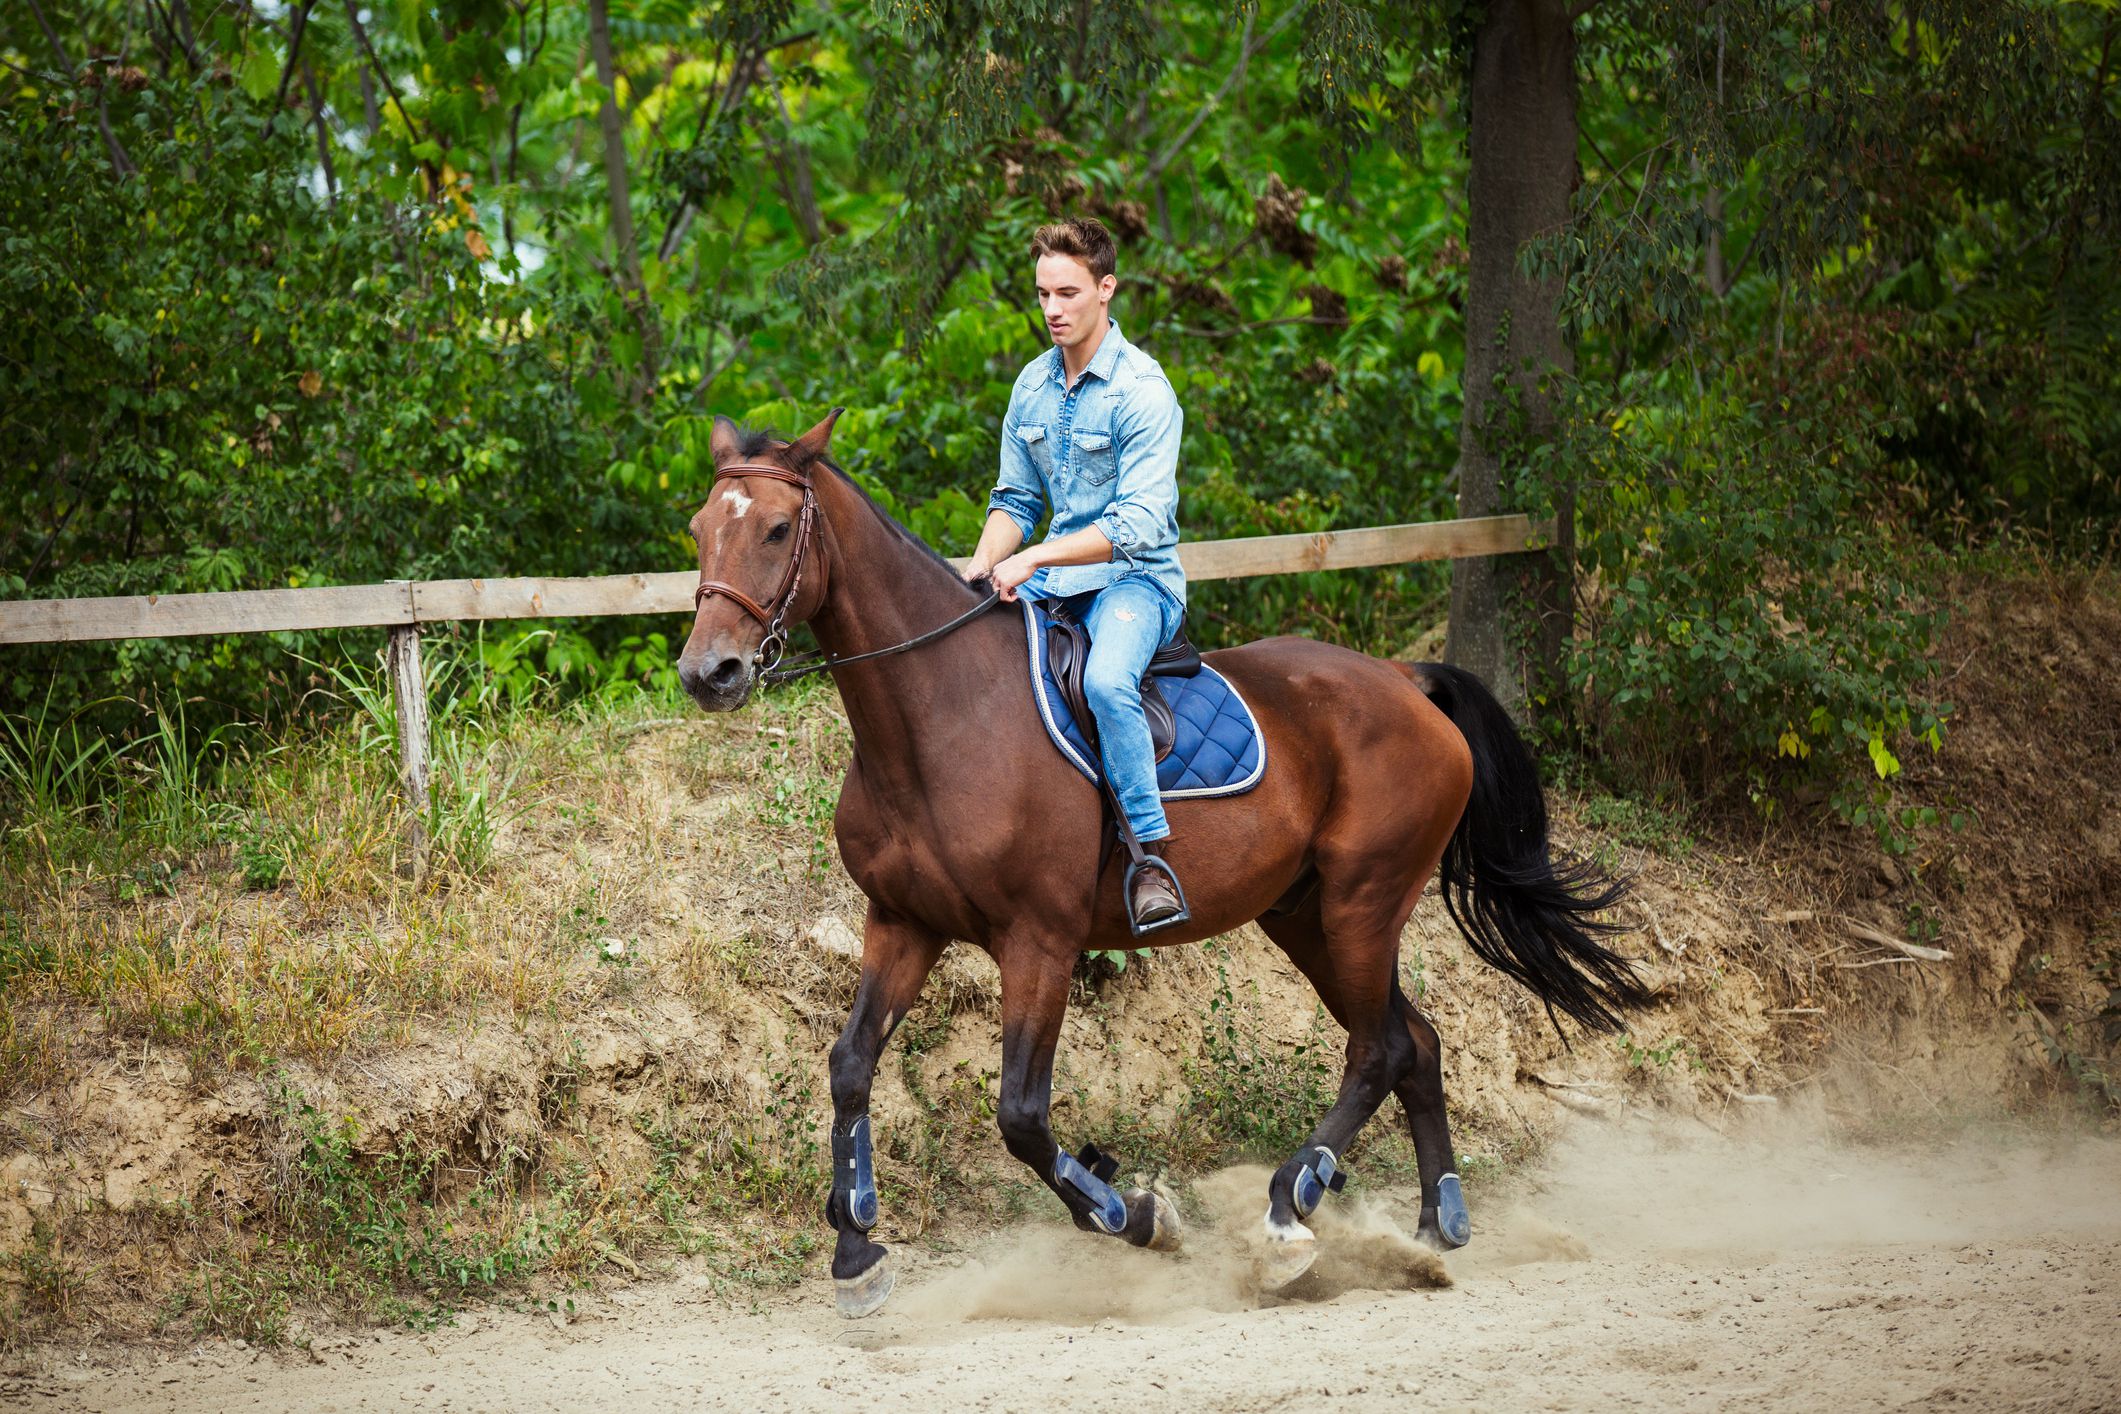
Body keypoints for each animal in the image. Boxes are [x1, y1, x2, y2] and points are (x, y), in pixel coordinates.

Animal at [670, 409, 1645, 1314]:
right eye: (699, 527)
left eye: (775, 529)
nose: (708, 673)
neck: (938, 716)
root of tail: (1405, 681)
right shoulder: (902, 923)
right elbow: (849, 1068)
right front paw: (855, 1255)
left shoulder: (1039, 940)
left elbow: (1021, 1117)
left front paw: (1136, 1215)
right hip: (1305, 918)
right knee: (1418, 1044)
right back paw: (1436, 1224)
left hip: (1361, 905)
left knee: (1378, 1048)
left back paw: (1287, 1215)